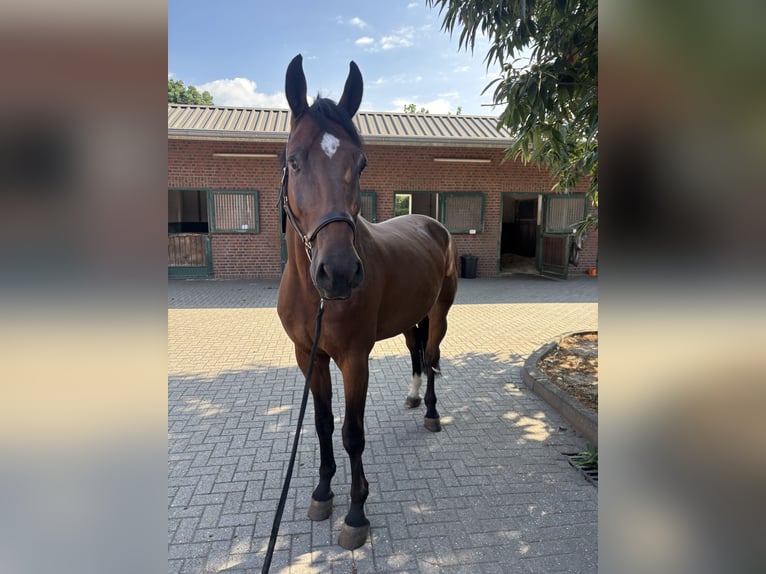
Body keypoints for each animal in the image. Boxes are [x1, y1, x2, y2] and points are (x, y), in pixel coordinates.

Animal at [276, 54, 458, 550]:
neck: (315, 298)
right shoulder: (310, 356)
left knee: (432, 354)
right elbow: (323, 424)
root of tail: (432, 223)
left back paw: (430, 412)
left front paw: (356, 513)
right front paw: (322, 492)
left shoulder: (354, 358)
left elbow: (352, 433)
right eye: (293, 160)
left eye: (360, 163)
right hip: (409, 318)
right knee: (417, 353)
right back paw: (413, 398)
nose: (338, 273)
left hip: (439, 314)